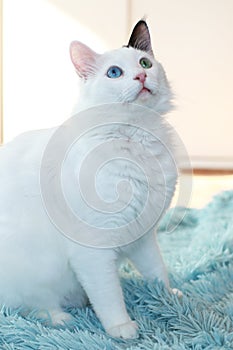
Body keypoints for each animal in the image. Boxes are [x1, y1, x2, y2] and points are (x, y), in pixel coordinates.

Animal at [0, 20, 180, 338]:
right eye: (114, 73)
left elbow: (157, 271)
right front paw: (121, 327)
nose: (141, 75)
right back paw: (60, 318)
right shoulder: (93, 249)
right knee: (28, 308)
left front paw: (168, 298)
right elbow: (109, 295)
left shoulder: (143, 235)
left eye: (145, 63)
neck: (137, 137)